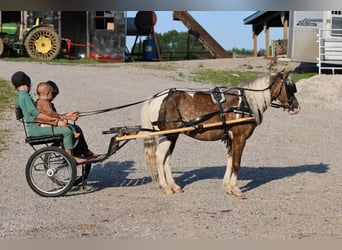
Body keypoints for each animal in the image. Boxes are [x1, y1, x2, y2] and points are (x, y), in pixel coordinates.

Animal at [139, 71, 300, 197]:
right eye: (290, 87)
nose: (296, 108)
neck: (246, 102)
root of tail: (156, 98)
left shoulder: (231, 138)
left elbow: (230, 161)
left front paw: (227, 186)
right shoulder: (240, 138)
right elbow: (236, 163)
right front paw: (235, 189)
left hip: (173, 136)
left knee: (166, 159)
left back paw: (174, 186)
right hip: (167, 135)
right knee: (160, 157)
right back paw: (165, 186)